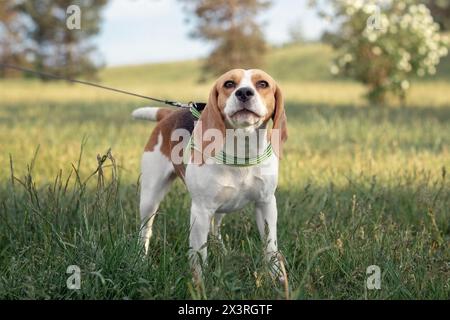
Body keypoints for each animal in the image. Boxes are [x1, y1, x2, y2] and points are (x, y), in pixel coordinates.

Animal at [133, 69, 288, 282]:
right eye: (229, 84)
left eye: (263, 84)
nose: (244, 93)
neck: (242, 151)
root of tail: (171, 113)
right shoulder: (201, 211)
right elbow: (199, 256)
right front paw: (201, 284)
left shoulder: (266, 204)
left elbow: (271, 246)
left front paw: (278, 279)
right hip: (150, 198)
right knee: (145, 232)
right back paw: (141, 262)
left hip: (221, 207)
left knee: (216, 230)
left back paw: (223, 252)